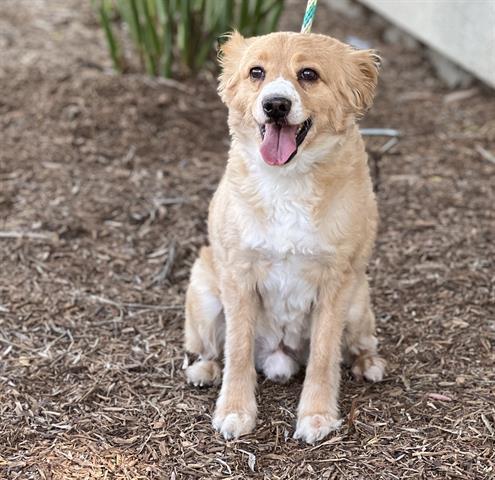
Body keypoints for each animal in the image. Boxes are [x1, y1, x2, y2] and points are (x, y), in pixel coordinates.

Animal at [184, 30, 386, 444]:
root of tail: (280, 354)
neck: (287, 181)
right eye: (256, 72)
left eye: (308, 74)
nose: (275, 105)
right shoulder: (239, 275)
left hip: (359, 303)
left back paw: (368, 363)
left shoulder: (336, 283)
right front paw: (235, 410)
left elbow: (324, 357)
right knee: (213, 349)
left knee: (357, 346)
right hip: (205, 294)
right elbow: (238, 350)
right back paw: (204, 370)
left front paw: (317, 415)